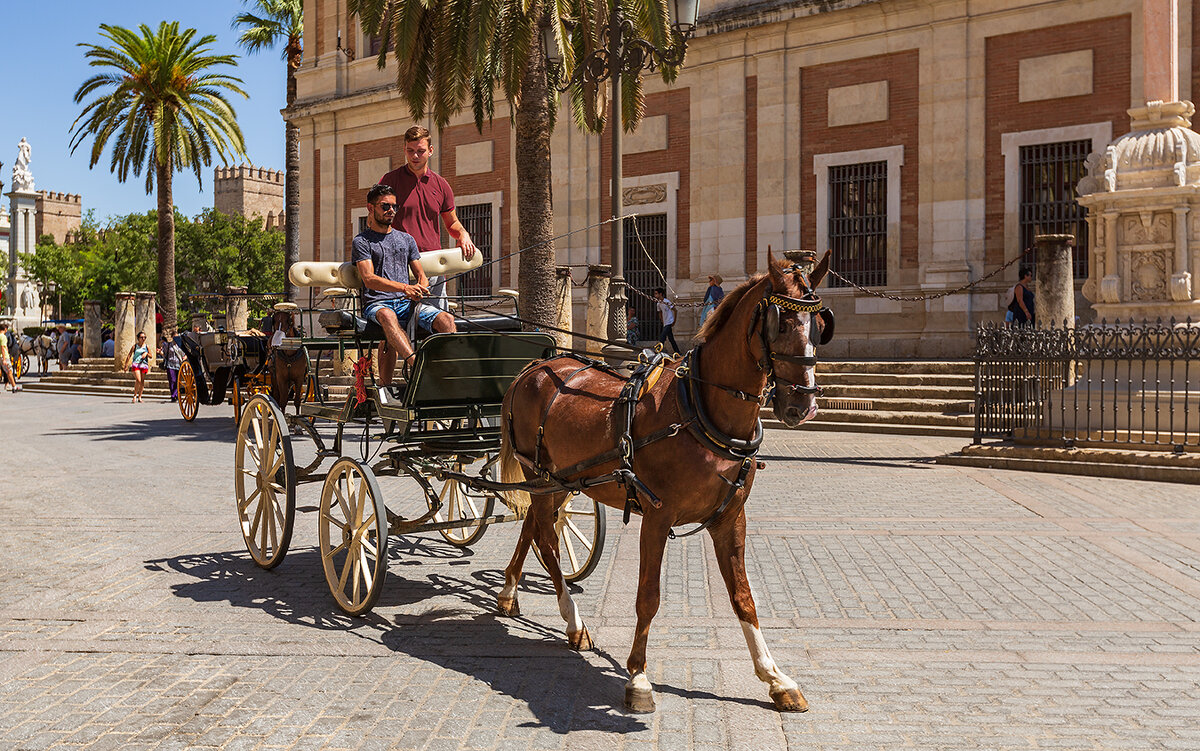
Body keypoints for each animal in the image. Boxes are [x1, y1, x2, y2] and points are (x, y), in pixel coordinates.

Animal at [496, 249, 835, 705]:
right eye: (778, 323)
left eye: (820, 325)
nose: (802, 405)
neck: (698, 409)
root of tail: (534, 366)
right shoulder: (656, 518)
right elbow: (649, 597)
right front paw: (638, 676)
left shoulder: (731, 519)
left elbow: (744, 597)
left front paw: (775, 676)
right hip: (540, 475)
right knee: (548, 542)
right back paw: (573, 621)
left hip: (557, 480)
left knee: (533, 525)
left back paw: (510, 593)